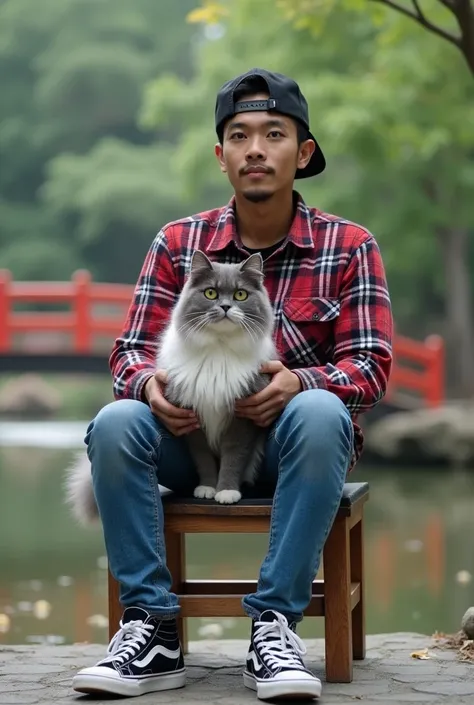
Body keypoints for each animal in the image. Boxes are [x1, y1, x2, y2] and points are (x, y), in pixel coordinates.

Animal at [65, 250, 276, 520]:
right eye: (211, 293)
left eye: (241, 294)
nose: (226, 307)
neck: (218, 348)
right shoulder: (191, 416)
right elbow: (203, 458)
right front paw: (207, 489)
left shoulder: (242, 417)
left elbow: (233, 457)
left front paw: (226, 492)